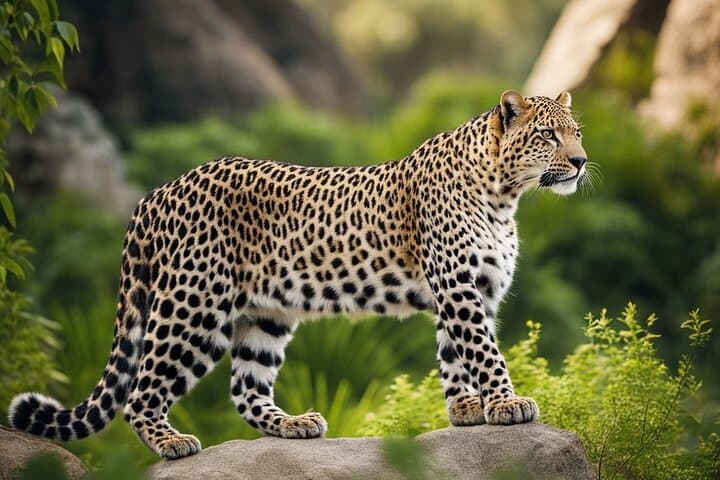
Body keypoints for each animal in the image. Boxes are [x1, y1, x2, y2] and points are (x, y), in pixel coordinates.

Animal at [9, 90, 588, 460]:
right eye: (547, 135)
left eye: (576, 133)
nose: (582, 161)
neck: (504, 195)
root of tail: (155, 194)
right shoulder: (458, 285)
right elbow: (483, 351)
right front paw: (508, 404)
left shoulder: (473, 290)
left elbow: (456, 353)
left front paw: (467, 409)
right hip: (194, 304)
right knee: (141, 389)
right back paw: (171, 443)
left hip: (265, 314)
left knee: (245, 388)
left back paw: (293, 425)